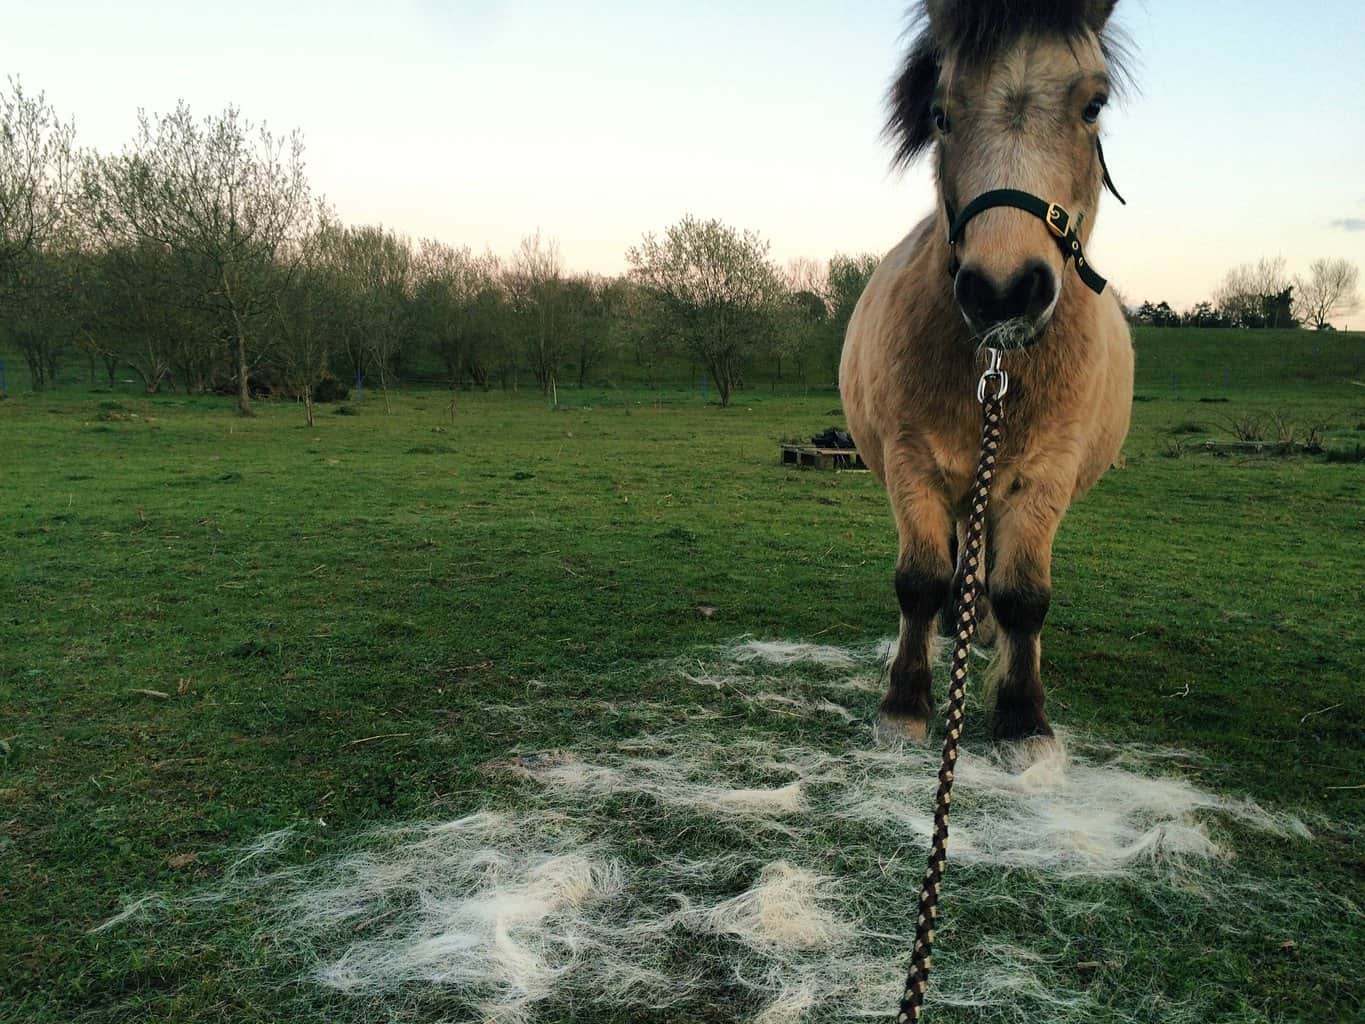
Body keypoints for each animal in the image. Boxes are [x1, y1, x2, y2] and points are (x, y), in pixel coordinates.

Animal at [839, 0, 1135, 746]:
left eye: (1093, 104)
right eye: (940, 114)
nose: (1003, 292)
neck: (996, 364)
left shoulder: (1046, 476)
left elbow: (1023, 595)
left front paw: (1022, 717)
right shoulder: (911, 463)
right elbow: (920, 580)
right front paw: (905, 700)